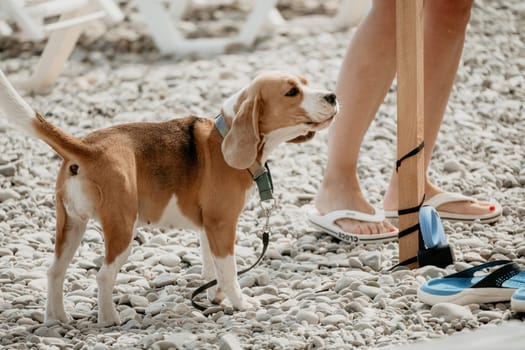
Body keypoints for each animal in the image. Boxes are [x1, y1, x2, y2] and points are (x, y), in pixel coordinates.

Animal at [0, 69, 338, 326]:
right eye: (292, 91)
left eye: (306, 83)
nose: (333, 96)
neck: (224, 134)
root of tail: (88, 147)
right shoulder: (223, 224)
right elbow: (229, 271)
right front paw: (240, 303)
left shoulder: (208, 228)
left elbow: (213, 268)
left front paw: (215, 296)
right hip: (122, 229)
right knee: (103, 276)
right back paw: (109, 320)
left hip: (70, 226)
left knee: (54, 272)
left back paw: (55, 319)